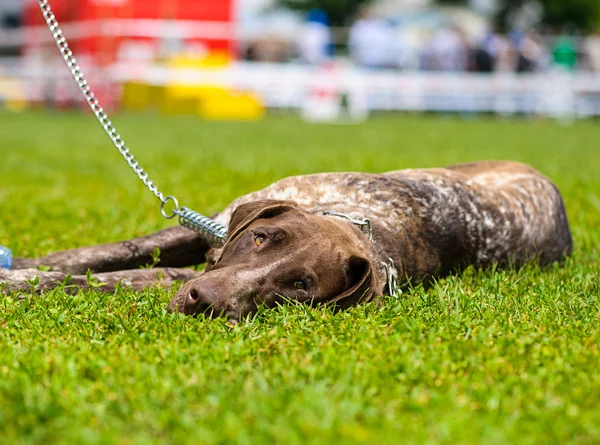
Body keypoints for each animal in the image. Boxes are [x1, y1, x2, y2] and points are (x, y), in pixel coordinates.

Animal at [0, 161, 572, 320]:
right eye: (261, 238)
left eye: (299, 286)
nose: (205, 302)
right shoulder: (201, 224)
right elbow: (95, 256)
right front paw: (22, 262)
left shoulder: (190, 267)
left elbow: (98, 281)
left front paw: (22, 280)